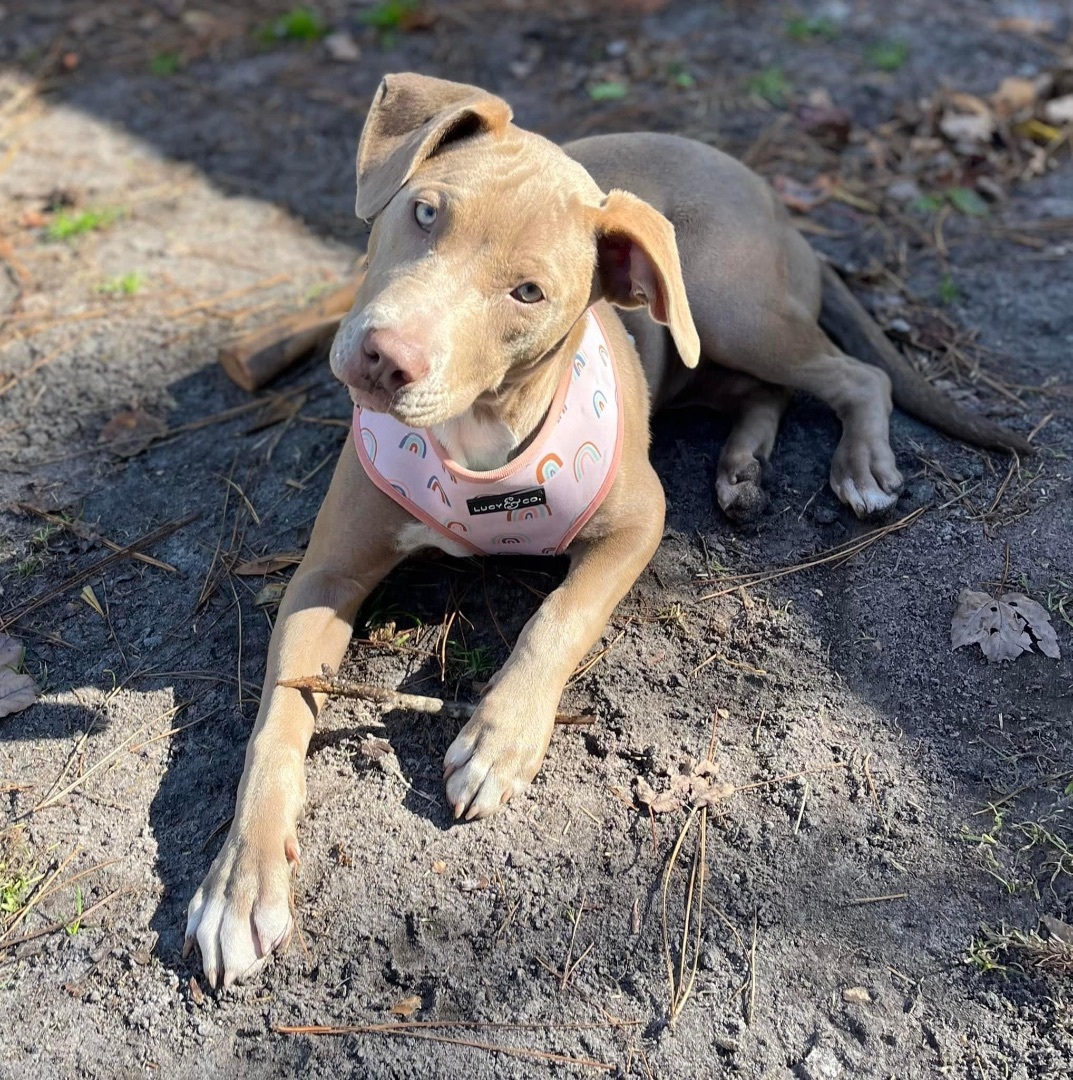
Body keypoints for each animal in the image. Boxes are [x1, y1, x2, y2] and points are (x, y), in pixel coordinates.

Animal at [185, 73, 1027, 989]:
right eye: (424, 212)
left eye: (528, 294)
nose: (384, 358)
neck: (484, 442)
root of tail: (764, 190)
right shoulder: (325, 576)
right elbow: (275, 723)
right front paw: (239, 883)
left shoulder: (636, 524)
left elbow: (557, 619)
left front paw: (499, 737)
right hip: (702, 346)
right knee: (760, 392)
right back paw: (741, 468)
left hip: (726, 306)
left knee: (854, 374)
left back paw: (860, 465)